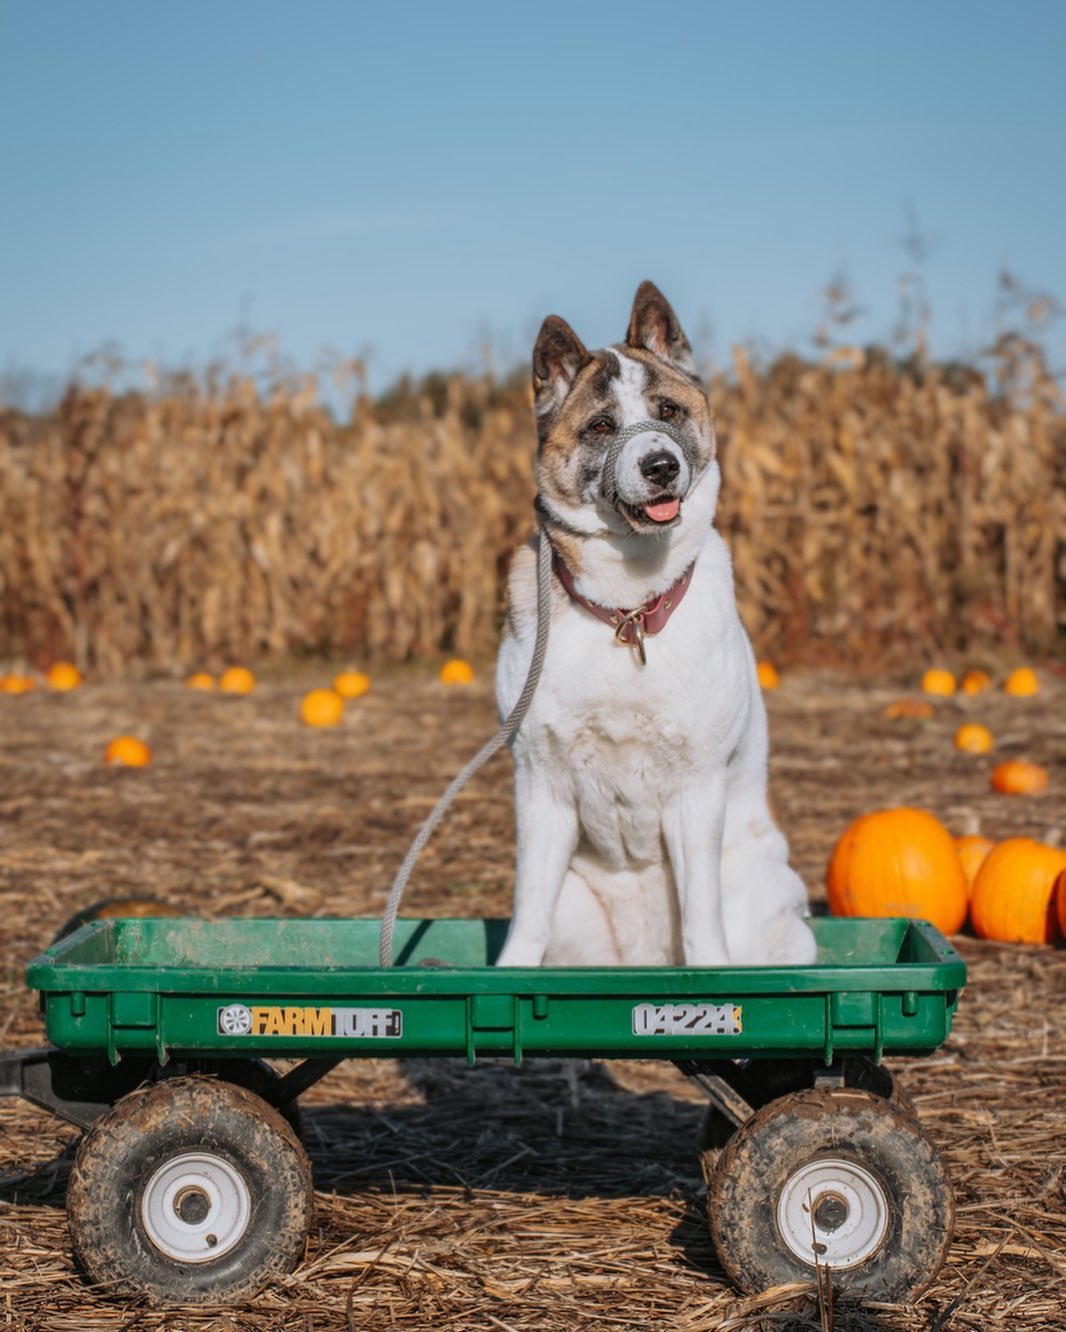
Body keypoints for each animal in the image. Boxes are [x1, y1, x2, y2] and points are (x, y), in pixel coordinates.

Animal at [493, 281, 815, 969]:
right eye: (601, 426)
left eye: (668, 411)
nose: (662, 465)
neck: (628, 612)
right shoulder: (540, 787)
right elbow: (526, 919)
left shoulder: (696, 794)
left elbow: (701, 923)